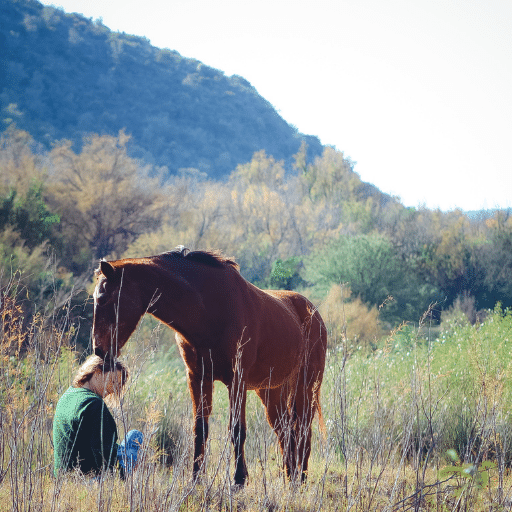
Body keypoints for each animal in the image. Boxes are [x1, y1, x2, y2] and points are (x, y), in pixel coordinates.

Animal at [92, 247, 326, 484]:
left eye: (104, 298)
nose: (99, 350)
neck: (209, 311)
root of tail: (313, 313)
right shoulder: (198, 377)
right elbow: (200, 428)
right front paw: (196, 478)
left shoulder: (237, 380)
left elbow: (237, 429)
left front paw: (239, 479)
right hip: (271, 391)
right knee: (285, 431)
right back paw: (291, 477)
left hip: (305, 387)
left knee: (303, 430)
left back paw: (301, 478)